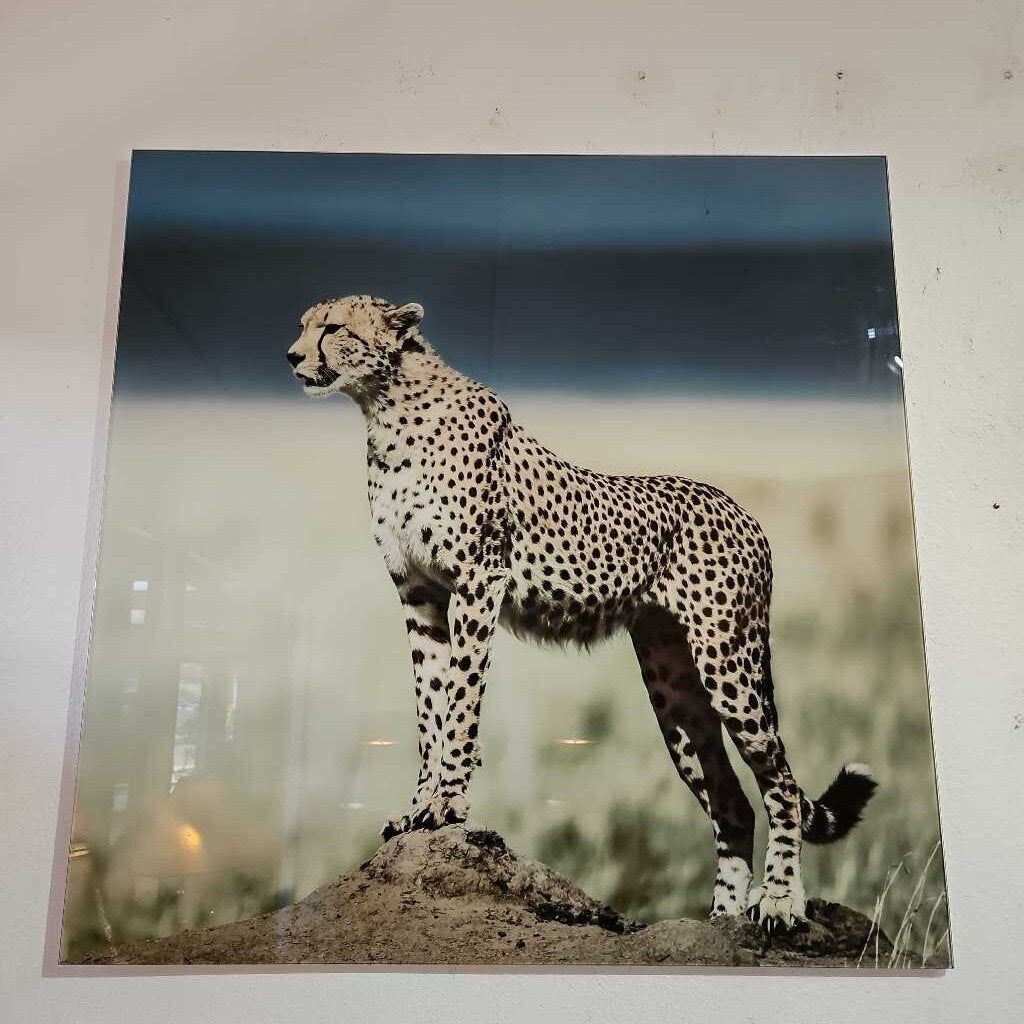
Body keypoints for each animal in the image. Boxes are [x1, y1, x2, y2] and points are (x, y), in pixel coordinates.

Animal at [286, 294, 877, 932]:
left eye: (333, 328)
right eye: (304, 325)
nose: (292, 356)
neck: (386, 405)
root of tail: (740, 508)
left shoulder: (477, 582)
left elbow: (461, 704)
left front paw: (446, 804)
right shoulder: (419, 595)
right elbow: (429, 711)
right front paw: (417, 807)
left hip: (728, 659)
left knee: (782, 785)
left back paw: (779, 901)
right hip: (674, 689)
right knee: (732, 802)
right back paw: (720, 918)